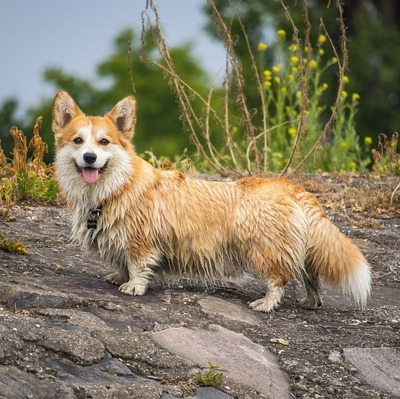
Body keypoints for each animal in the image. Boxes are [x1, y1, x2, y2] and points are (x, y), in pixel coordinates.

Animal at [52, 90, 372, 312]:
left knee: (279, 279)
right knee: (310, 275)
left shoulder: (140, 243)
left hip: (264, 248)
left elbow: (138, 266)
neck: (114, 188)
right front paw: (118, 278)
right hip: (298, 248)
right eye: (78, 141)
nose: (89, 157)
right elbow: (121, 263)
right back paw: (311, 302)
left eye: (104, 142)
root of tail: (293, 188)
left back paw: (266, 304)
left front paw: (133, 286)